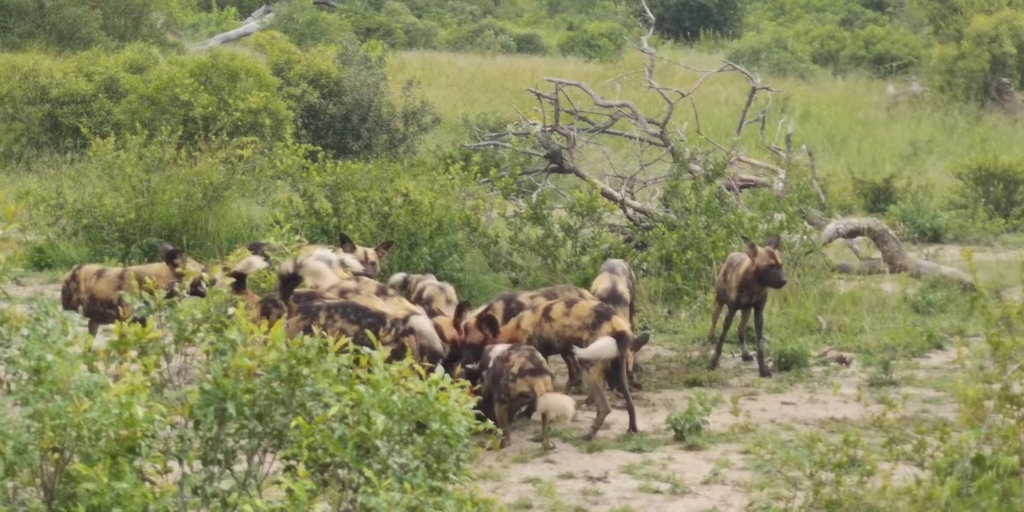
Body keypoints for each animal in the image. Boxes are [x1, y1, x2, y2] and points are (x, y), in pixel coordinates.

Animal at [60, 242, 214, 335]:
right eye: (203, 270)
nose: (215, 280)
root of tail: (70, 272)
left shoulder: (143, 322)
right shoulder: (124, 324)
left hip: (94, 322)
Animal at [483, 299, 634, 442]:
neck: (517, 329)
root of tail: (616, 322)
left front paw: (527, 413)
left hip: (588, 365)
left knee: (604, 407)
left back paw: (588, 436)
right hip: (618, 371)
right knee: (630, 403)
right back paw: (632, 430)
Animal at [708, 234, 786, 376]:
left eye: (780, 265)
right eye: (770, 266)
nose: (784, 281)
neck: (753, 287)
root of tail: (734, 254)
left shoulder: (758, 313)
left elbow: (760, 346)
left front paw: (763, 369)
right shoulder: (731, 311)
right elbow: (721, 341)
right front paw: (712, 363)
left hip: (747, 312)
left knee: (740, 330)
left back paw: (745, 354)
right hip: (718, 305)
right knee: (714, 325)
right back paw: (710, 340)